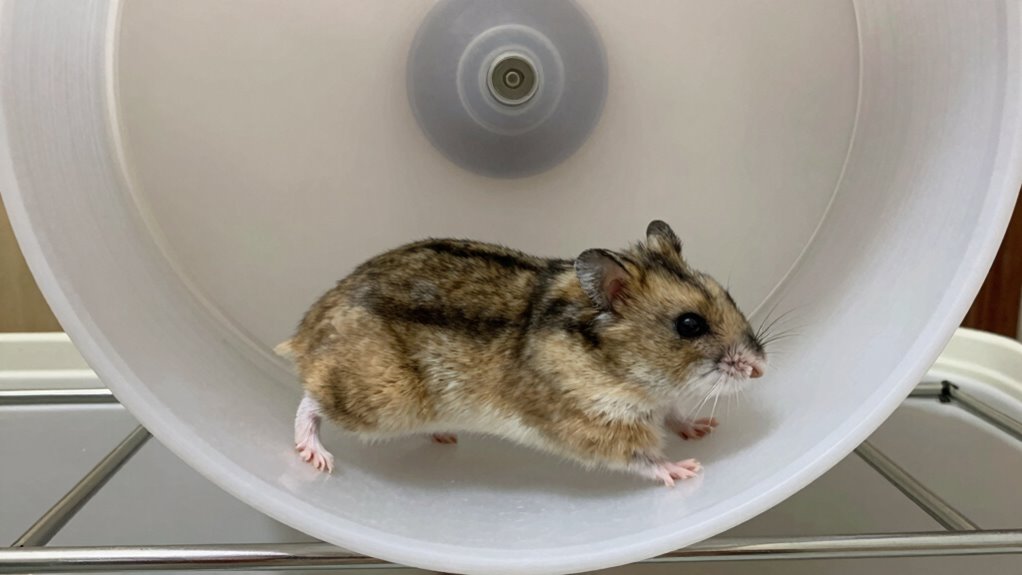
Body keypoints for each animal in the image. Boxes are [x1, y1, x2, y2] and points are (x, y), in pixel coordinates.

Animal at [277, 220, 766, 486]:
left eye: (727, 294)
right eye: (689, 325)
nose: (761, 369)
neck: (623, 370)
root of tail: (302, 334)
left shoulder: (656, 402)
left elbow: (675, 413)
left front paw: (703, 428)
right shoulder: (594, 426)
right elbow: (643, 457)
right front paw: (687, 469)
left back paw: (444, 436)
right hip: (381, 400)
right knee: (312, 400)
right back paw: (317, 458)